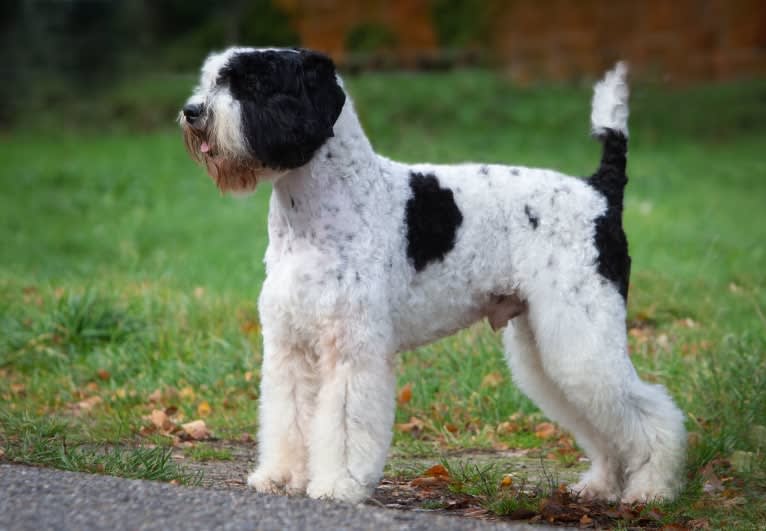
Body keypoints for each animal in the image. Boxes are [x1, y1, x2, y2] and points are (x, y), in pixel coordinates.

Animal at [182, 48, 688, 508]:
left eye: (254, 84)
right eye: (214, 78)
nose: (192, 112)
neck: (321, 211)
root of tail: (600, 192)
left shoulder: (352, 350)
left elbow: (343, 423)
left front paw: (338, 484)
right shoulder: (291, 346)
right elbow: (288, 417)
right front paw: (281, 477)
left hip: (581, 338)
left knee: (650, 412)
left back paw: (650, 490)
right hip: (547, 347)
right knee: (602, 424)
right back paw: (601, 484)